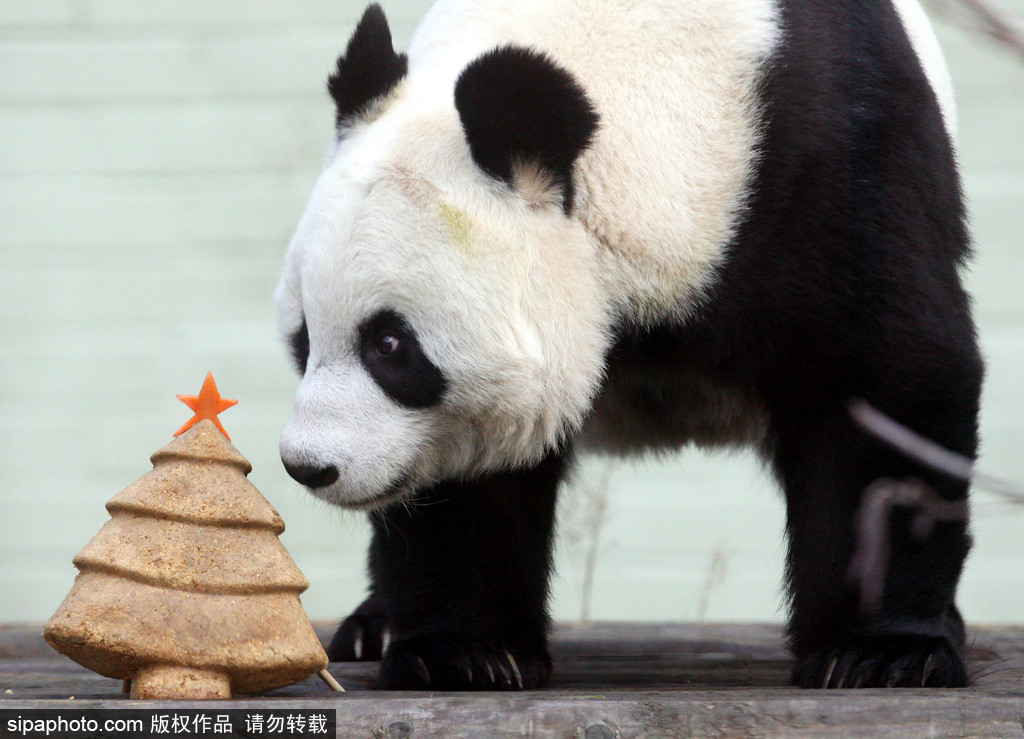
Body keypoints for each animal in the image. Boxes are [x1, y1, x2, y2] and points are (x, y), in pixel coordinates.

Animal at [276, 1, 978, 691]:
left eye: (390, 345)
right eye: (305, 338)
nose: (309, 466)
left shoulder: (837, 166)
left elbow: (885, 388)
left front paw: (879, 654)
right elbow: (469, 473)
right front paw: (461, 653)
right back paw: (372, 628)